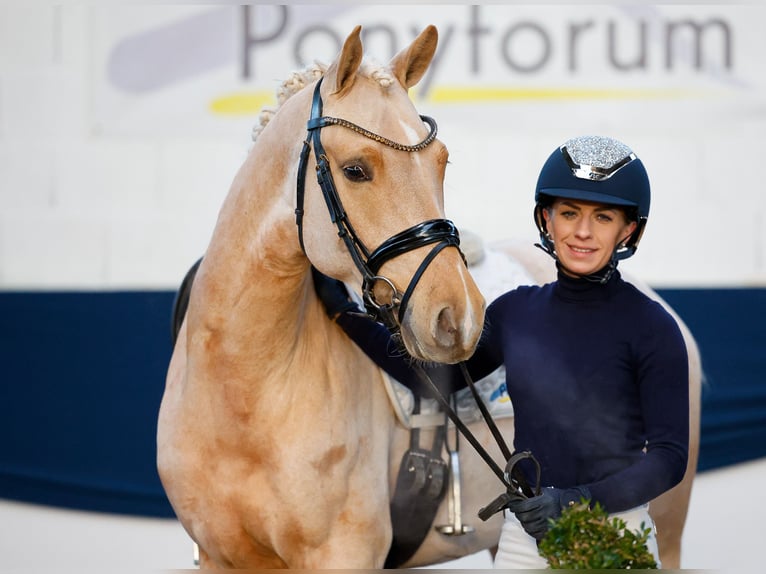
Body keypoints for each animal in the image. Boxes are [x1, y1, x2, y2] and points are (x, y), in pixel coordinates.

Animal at [160, 24, 704, 568]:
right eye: (355, 170)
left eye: (441, 161)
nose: (458, 317)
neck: (244, 395)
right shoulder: (222, 558)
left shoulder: (344, 553)